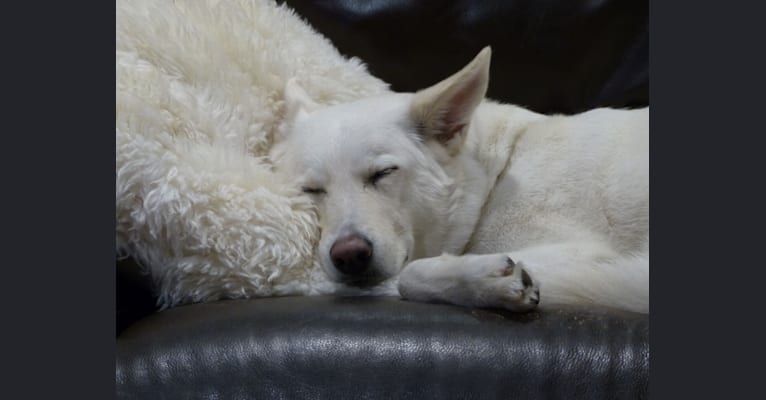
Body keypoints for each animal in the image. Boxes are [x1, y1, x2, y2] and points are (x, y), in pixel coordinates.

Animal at [272, 48, 652, 314]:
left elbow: (410, 276)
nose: (349, 256)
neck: (495, 175)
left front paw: (483, 279)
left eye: (384, 173)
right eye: (311, 190)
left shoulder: (585, 252)